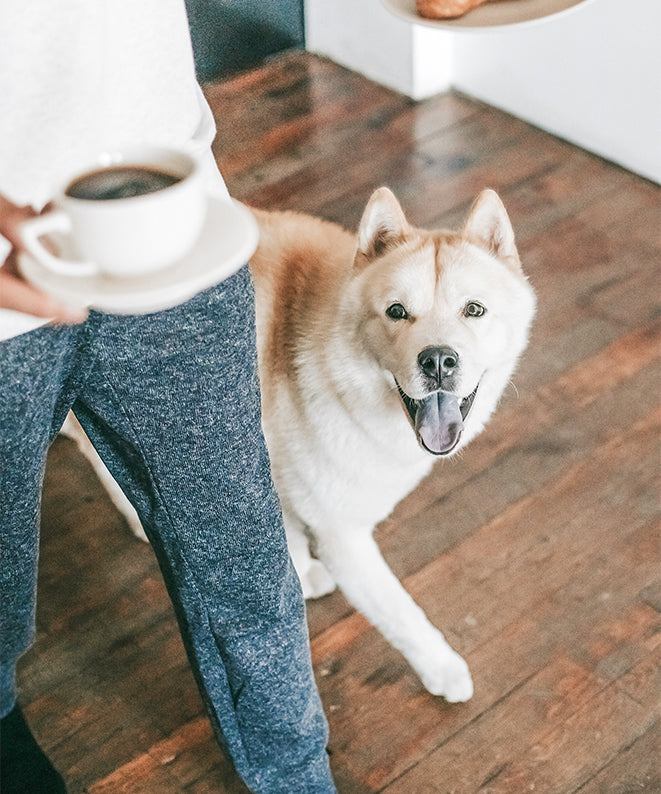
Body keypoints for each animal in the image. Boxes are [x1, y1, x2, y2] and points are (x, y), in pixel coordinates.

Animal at [62, 189, 536, 704]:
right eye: (396, 312)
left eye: (474, 310)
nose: (438, 361)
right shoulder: (338, 532)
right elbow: (398, 611)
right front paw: (441, 666)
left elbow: (286, 524)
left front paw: (300, 567)